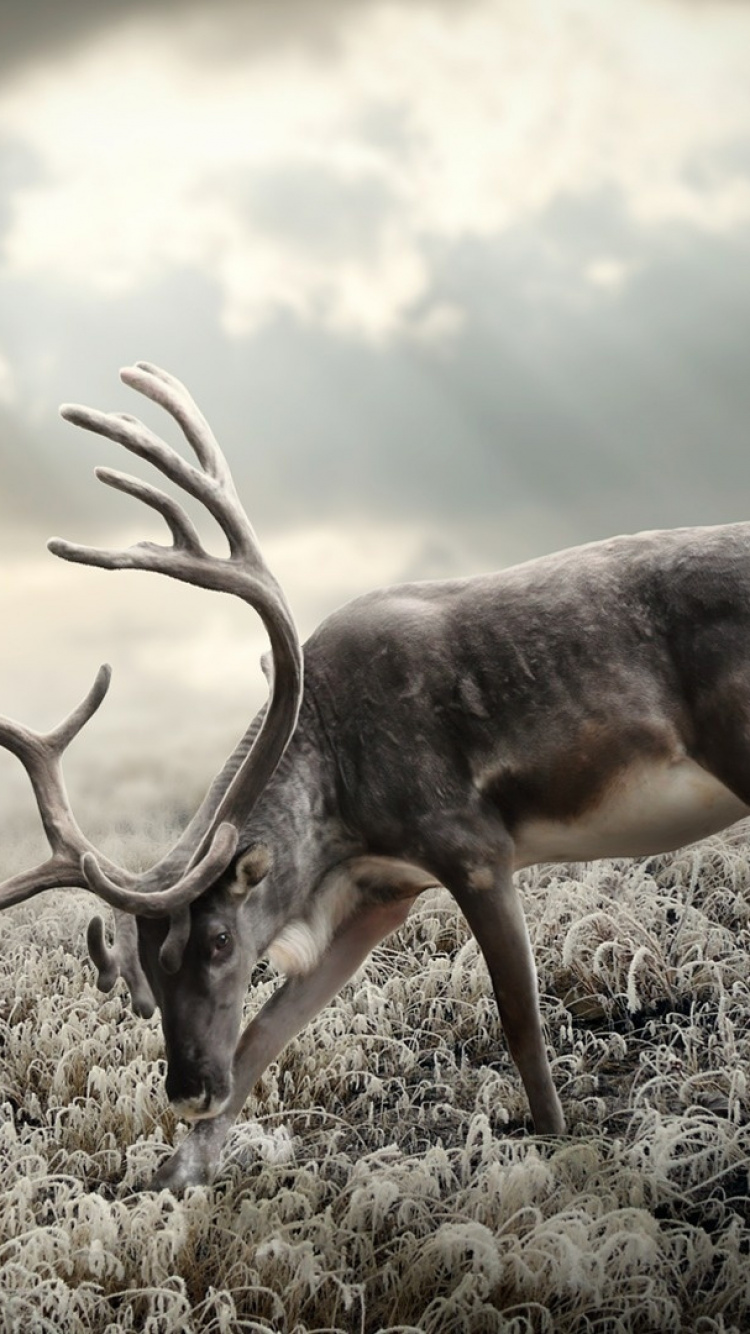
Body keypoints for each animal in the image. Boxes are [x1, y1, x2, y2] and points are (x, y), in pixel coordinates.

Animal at [1, 361, 748, 1193]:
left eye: (219, 940)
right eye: (145, 968)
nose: (189, 1088)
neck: (342, 806)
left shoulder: (472, 847)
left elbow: (521, 1025)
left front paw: (557, 1153)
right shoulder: (379, 894)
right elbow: (263, 1037)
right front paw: (177, 1178)